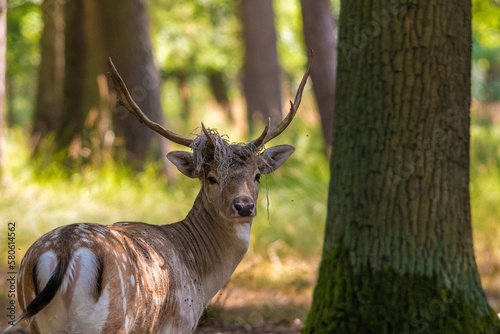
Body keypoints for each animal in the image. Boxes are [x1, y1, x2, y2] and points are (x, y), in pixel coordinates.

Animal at [13, 52, 310, 334]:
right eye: (212, 178)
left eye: (257, 175)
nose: (244, 206)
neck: (200, 279)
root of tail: (64, 251)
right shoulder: (180, 322)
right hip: (111, 321)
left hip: (38, 318)